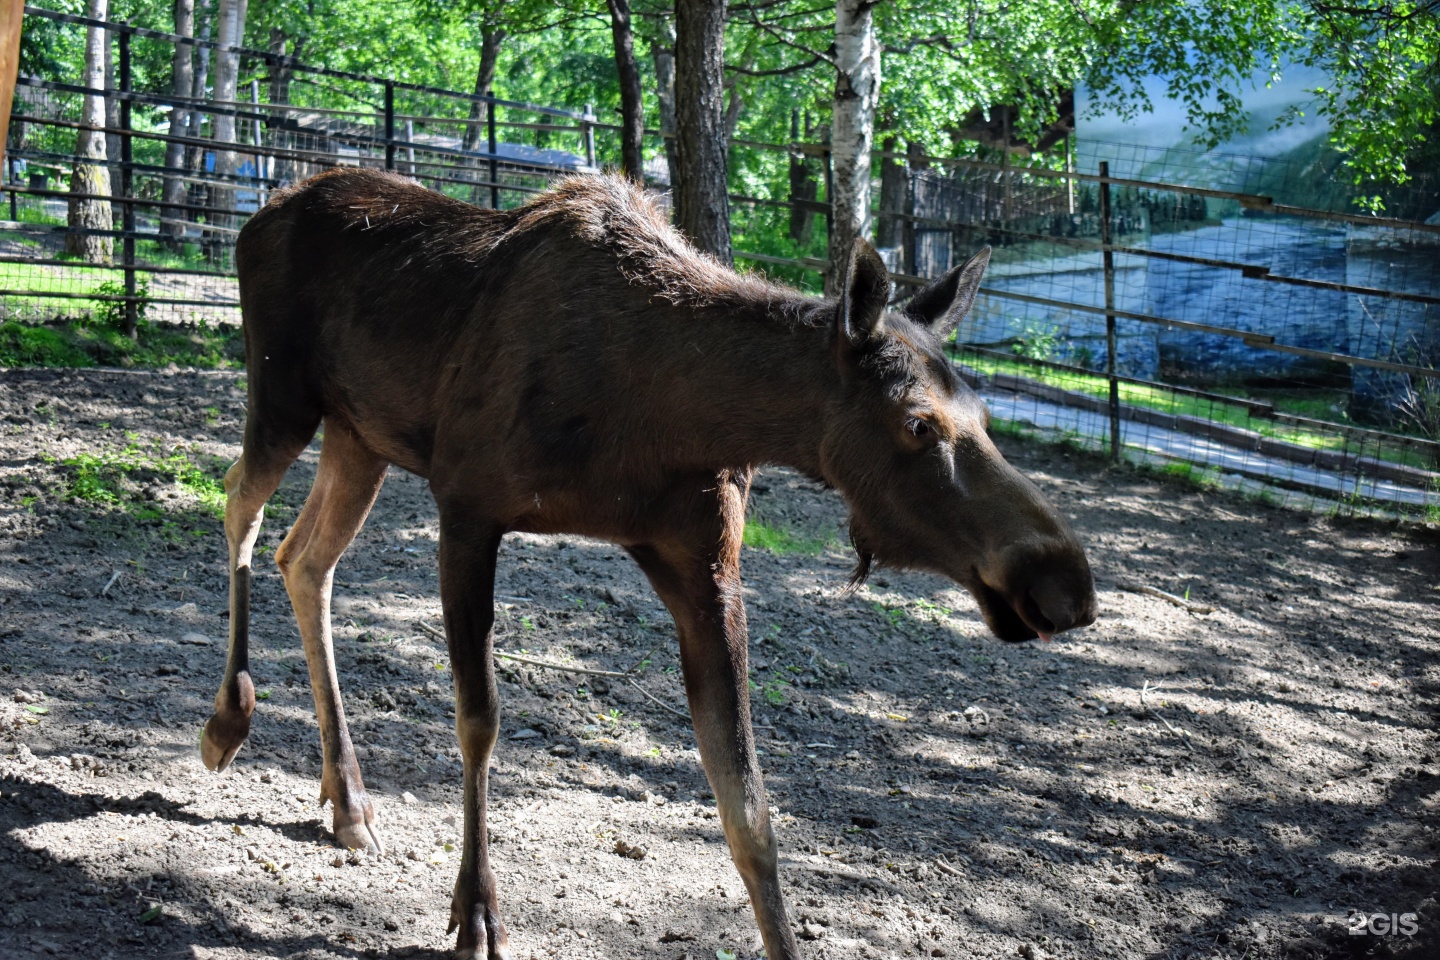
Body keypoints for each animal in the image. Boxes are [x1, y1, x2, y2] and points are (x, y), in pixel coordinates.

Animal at [203, 169, 1094, 960]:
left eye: (984, 415)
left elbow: (748, 804)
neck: (671, 414)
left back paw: (347, 797)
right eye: (917, 423)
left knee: (304, 557)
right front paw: (476, 913)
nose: (1067, 587)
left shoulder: (703, 567)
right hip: (283, 397)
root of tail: (257, 216)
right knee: (239, 504)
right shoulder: (467, 507)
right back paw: (227, 721)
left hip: (362, 436)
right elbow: (479, 720)